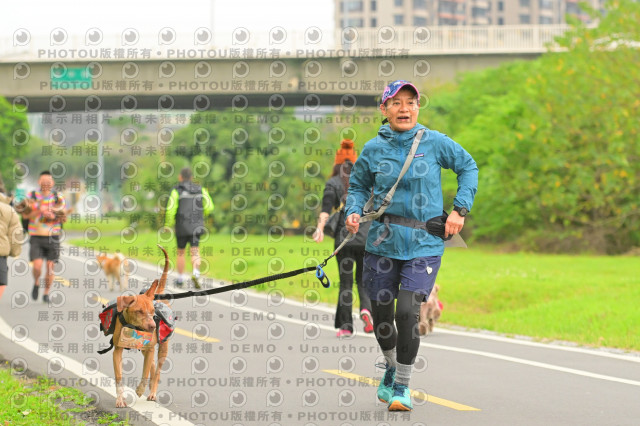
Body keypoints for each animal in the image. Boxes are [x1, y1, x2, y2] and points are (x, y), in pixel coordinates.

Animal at [112, 245, 171, 408]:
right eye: (139, 311)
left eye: (152, 311)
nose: (152, 326)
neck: (134, 327)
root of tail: (157, 294)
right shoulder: (117, 350)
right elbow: (119, 377)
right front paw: (120, 399)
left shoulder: (150, 349)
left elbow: (145, 373)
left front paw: (140, 389)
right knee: (152, 366)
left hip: (162, 348)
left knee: (156, 370)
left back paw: (152, 391)